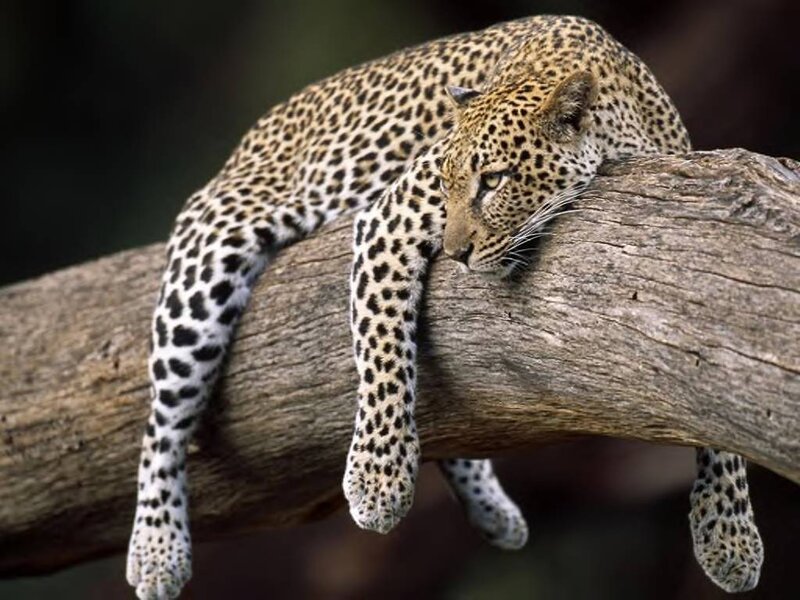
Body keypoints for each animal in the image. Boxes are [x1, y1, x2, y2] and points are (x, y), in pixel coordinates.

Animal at [126, 14, 761, 600]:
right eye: (446, 183)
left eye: (494, 181)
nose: (455, 254)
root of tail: (252, 134)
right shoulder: (389, 216)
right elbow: (383, 347)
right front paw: (377, 480)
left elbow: (715, 393)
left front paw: (728, 533)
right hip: (207, 264)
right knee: (163, 424)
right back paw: (156, 550)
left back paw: (494, 512)